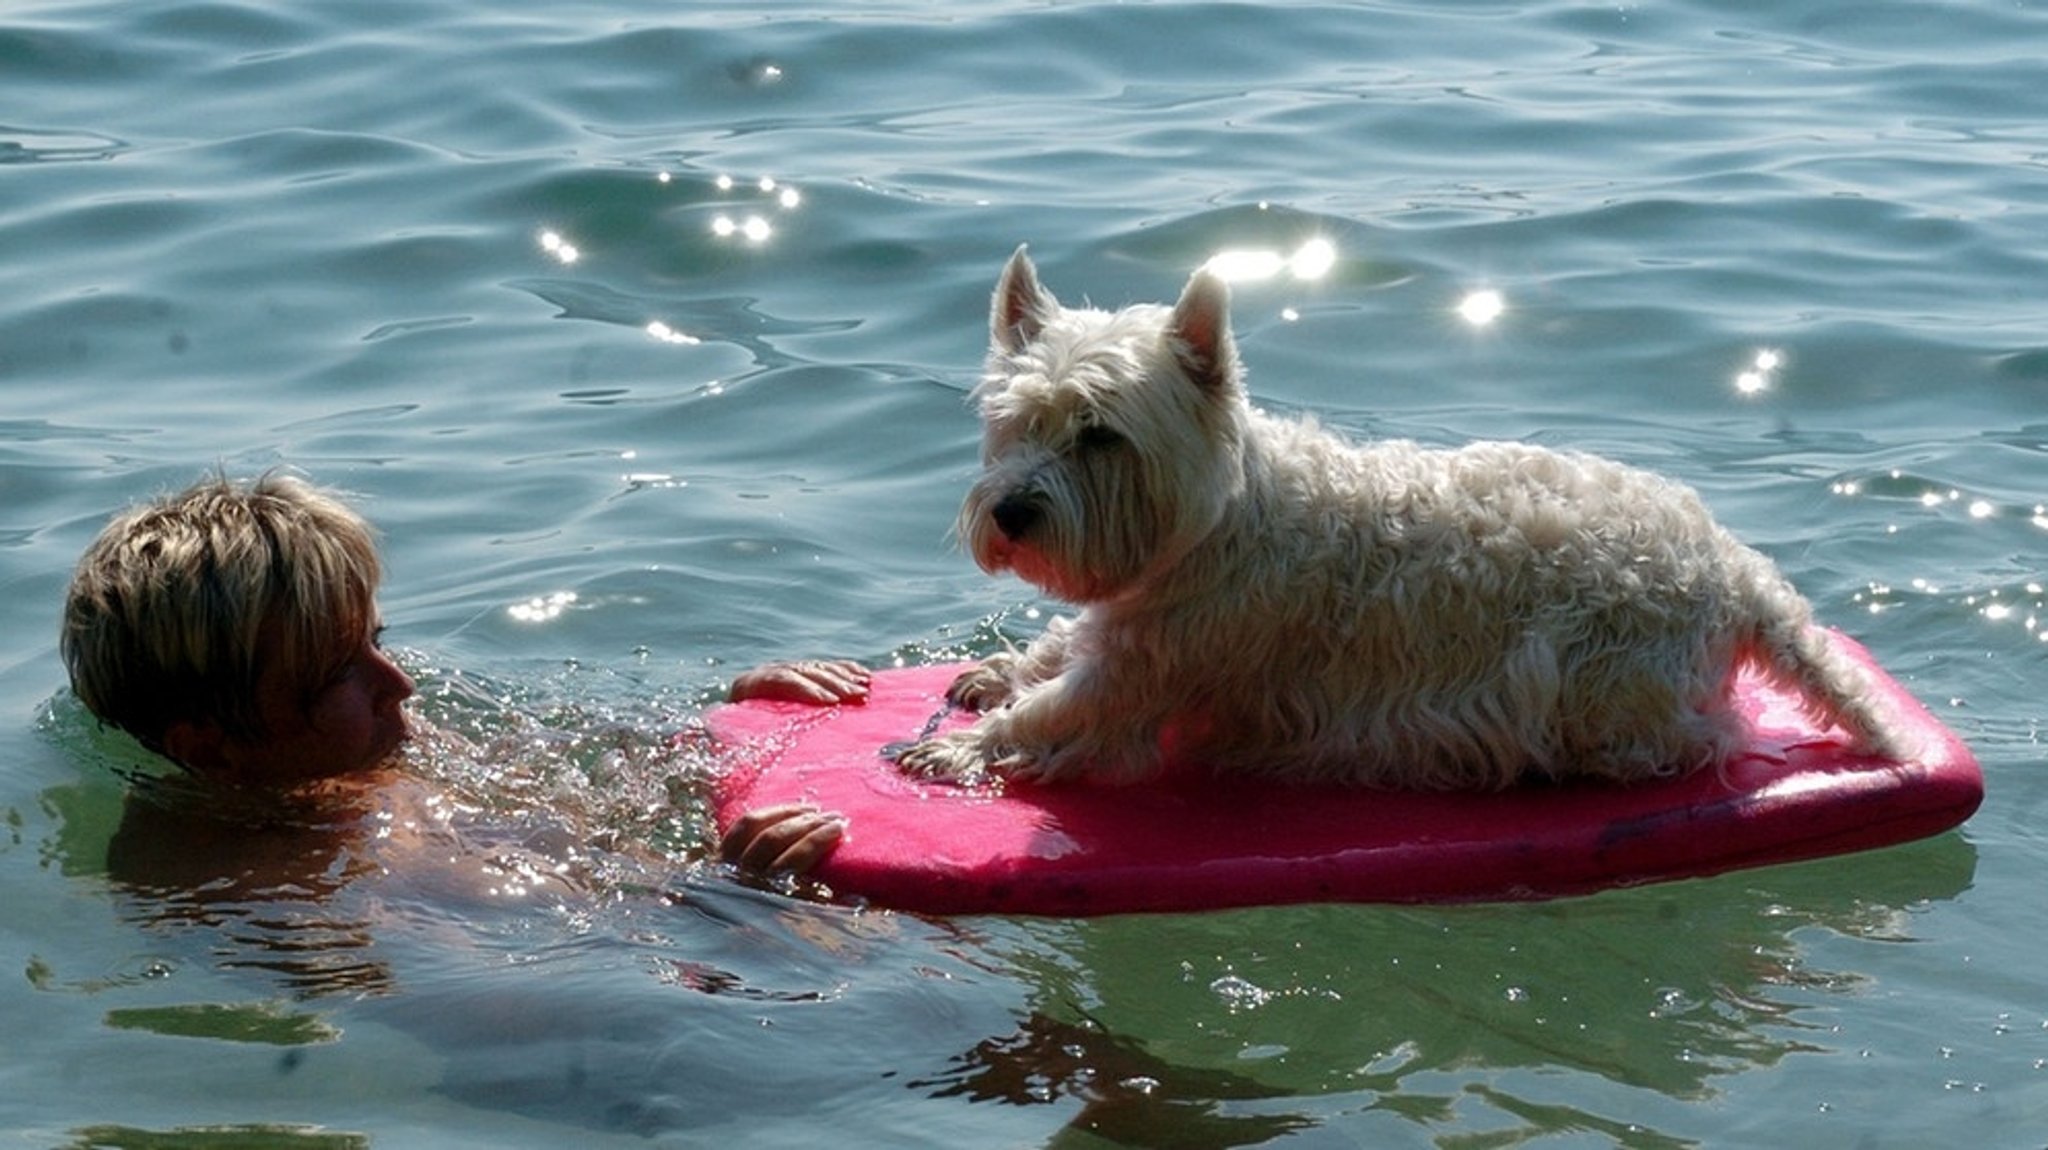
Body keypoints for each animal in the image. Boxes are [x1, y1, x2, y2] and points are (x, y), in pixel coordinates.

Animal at [897, 247, 1900, 785]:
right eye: (1018, 421)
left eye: (1101, 433)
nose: (1011, 514)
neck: (1219, 523)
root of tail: (1734, 567)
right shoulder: (1131, 623)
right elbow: (1061, 652)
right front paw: (995, 672)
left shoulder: (1154, 675)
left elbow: (1060, 712)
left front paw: (966, 748)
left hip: (1609, 690)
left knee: (1707, 739)